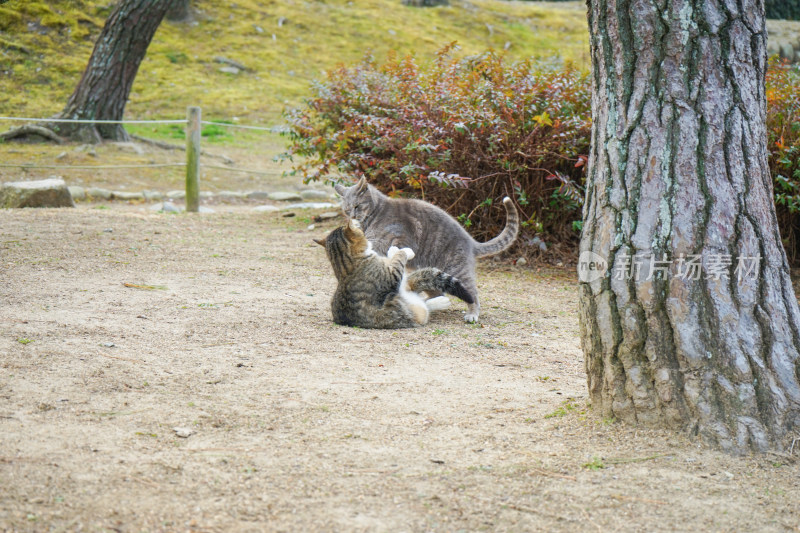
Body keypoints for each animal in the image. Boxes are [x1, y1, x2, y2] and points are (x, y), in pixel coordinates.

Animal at [314, 219, 476, 328]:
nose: (357, 221)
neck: (344, 266)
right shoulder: (392, 276)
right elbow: (399, 258)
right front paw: (404, 251)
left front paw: (395, 250)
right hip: (414, 309)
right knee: (424, 307)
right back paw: (441, 302)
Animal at [336, 177, 520, 322]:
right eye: (347, 209)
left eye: (357, 206)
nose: (352, 216)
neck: (374, 216)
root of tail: (471, 241)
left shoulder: (401, 239)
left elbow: (395, 251)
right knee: (437, 290)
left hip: (457, 268)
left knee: (472, 293)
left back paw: (472, 314)